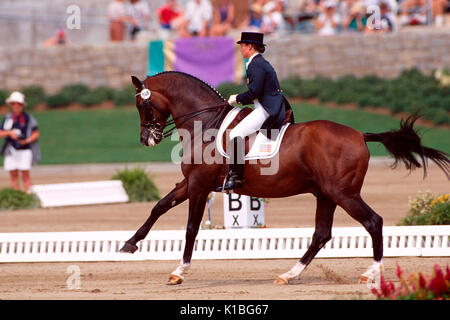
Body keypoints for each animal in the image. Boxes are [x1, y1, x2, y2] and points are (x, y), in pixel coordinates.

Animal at [119, 72, 450, 284]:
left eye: (141, 104)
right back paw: (289, 275)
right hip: (326, 194)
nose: (146, 139)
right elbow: (159, 206)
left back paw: (371, 273)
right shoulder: (189, 183)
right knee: (321, 235)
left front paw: (179, 271)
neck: (205, 121)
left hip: (344, 194)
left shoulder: (199, 185)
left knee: (373, 222)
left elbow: (190, 228)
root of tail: (360, 134)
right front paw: (129, 244)